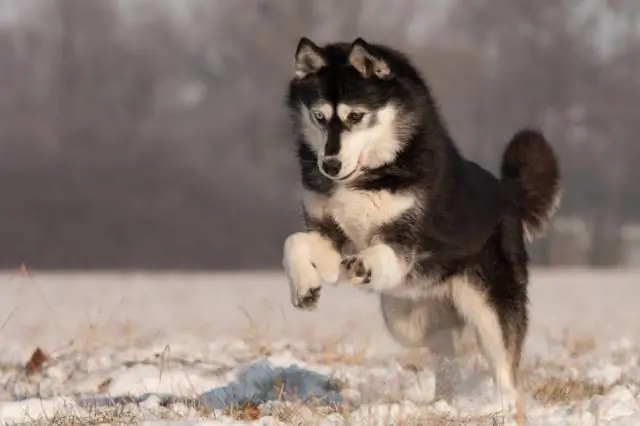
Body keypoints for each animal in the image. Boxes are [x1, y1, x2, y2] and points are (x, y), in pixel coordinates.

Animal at [280, 37, 560, 406]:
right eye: (319, 116)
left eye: (356, 115)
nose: (330, 165)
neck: (368, 177)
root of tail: (508, 196)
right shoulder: (329, 234)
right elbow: (294, 243)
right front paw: (304, 288)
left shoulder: (405, 239)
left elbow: (383, 252)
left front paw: (363, 265)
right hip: (405, 322)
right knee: (446, 351)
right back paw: (446, 399)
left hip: (488, 305)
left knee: (502, 364)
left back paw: (501, 403)